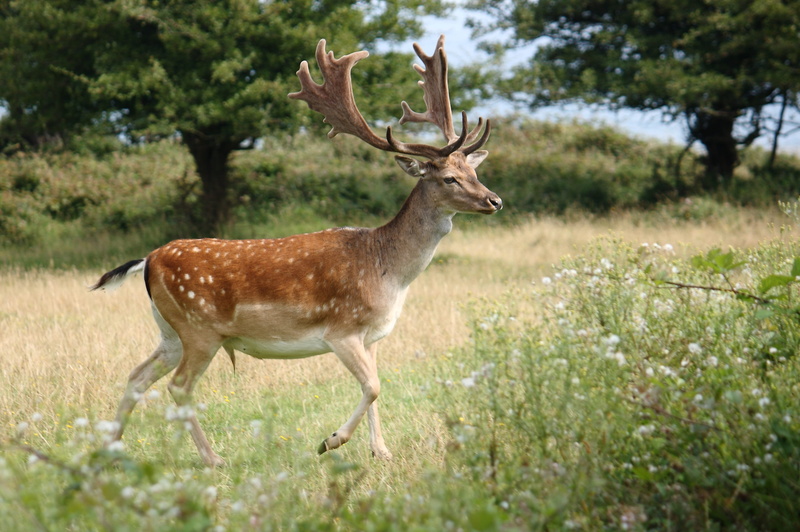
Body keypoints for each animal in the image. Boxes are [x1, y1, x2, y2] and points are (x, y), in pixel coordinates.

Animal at [91, 35, 502, 467]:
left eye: (474, 171)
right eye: (449, 178)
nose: (494, 200)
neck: (387, 270)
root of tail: (148, 261)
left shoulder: (371, 337)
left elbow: (376, 388)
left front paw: (381, 451)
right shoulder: (342, 329)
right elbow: (373, 387)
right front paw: (330, 440)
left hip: (170, 331)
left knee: (137, 375)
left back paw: (111, 448)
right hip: (199, 328)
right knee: (179, 386)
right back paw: (213, 458)